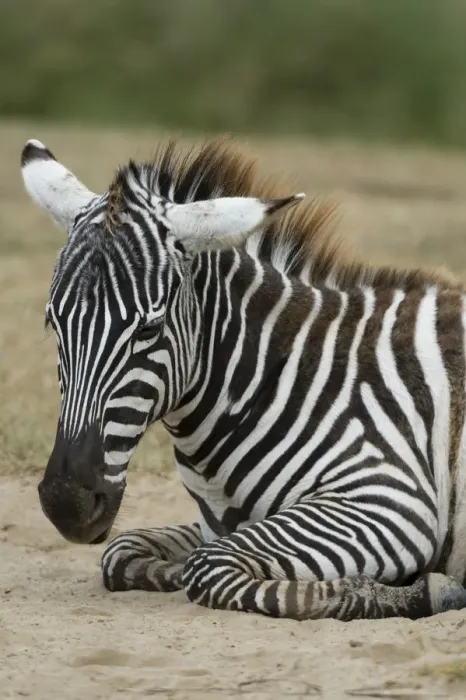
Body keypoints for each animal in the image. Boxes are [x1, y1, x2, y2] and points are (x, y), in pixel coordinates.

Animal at [21, 135, 466, 621]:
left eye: (149, 329)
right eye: (53, 324)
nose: (67, 503)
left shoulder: (389, 496)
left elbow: (208, 569)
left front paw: (423, 590)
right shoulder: (219, 524)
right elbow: (122, 551)